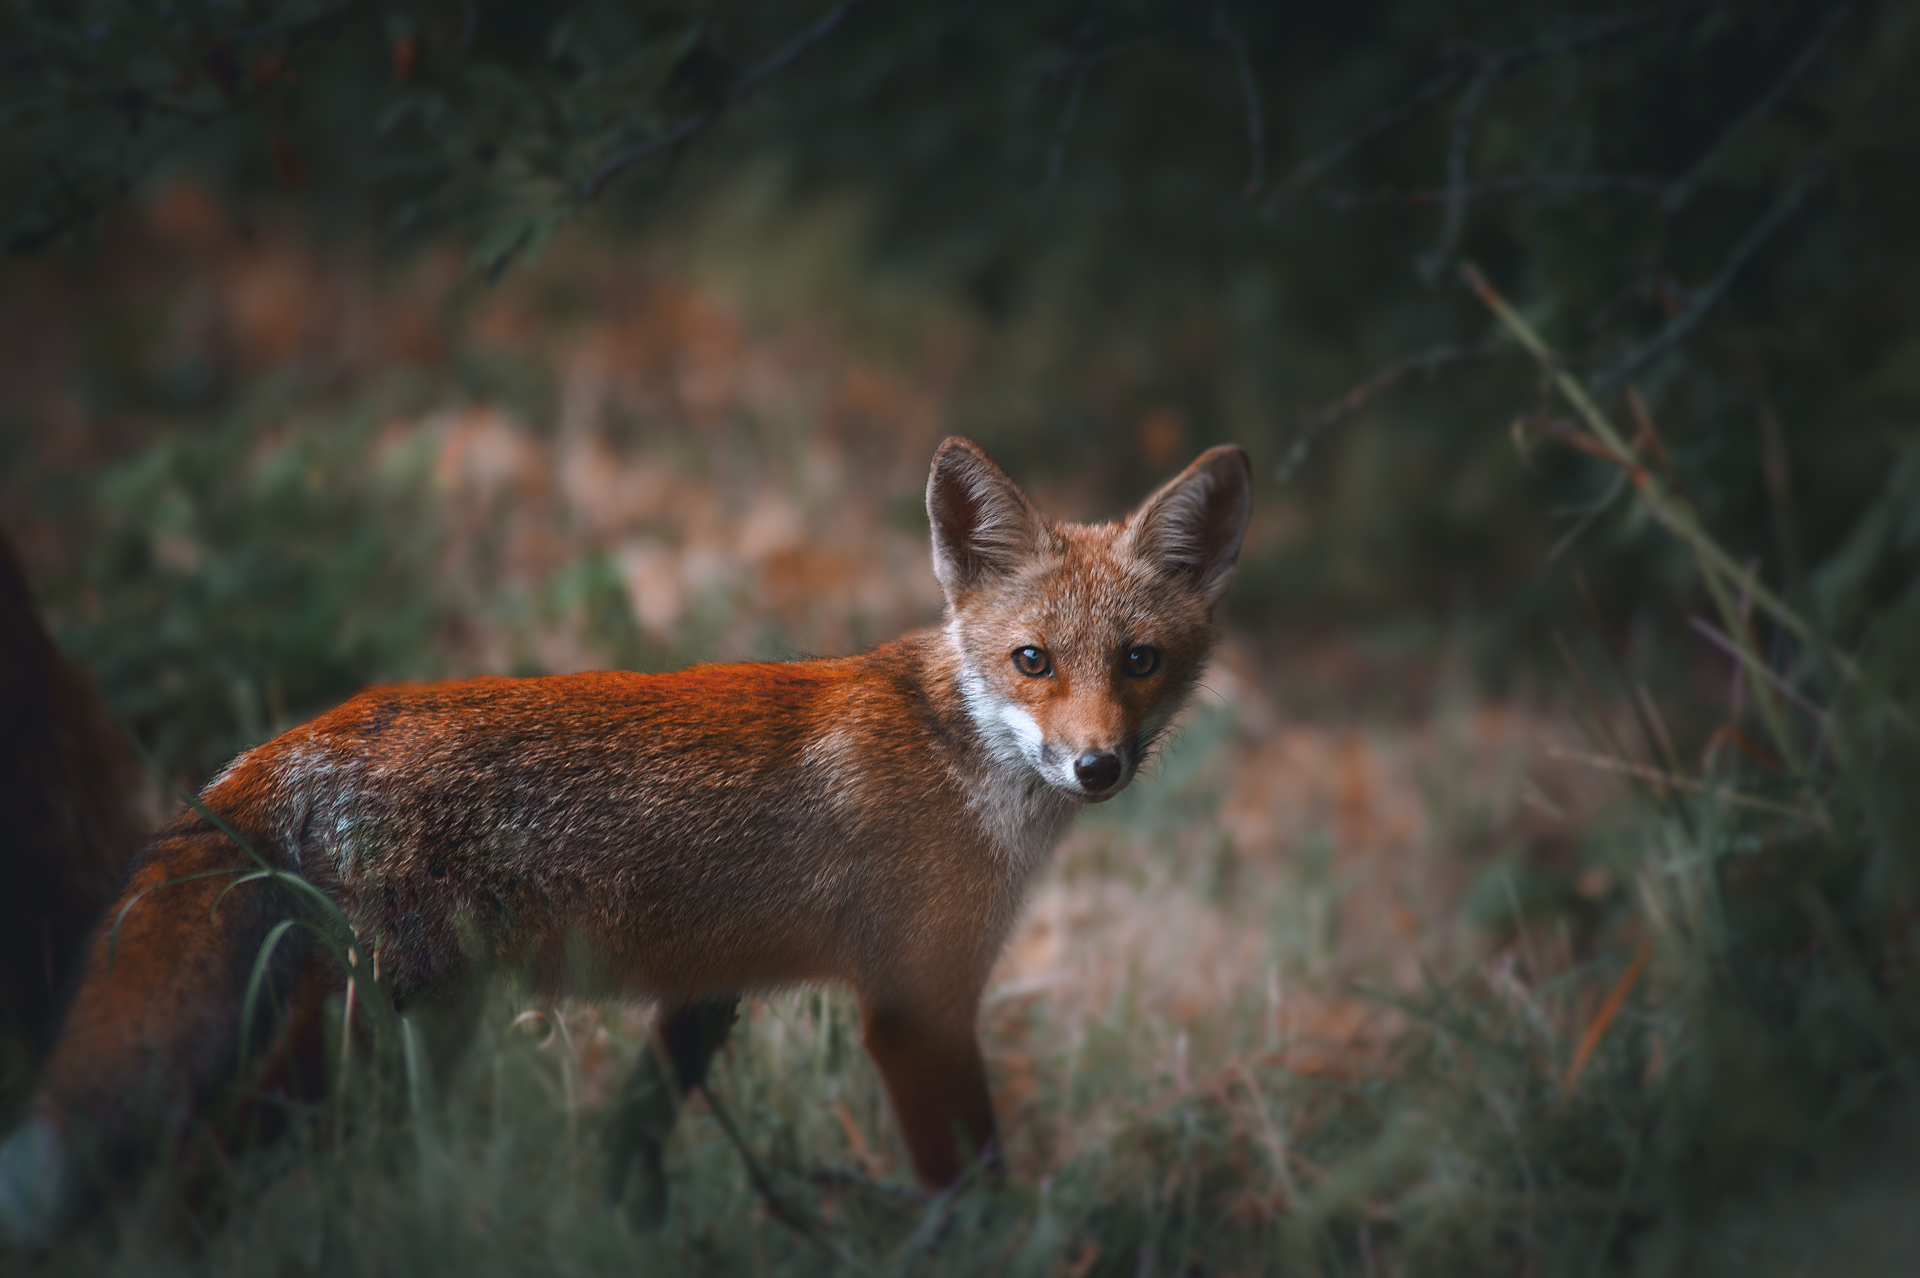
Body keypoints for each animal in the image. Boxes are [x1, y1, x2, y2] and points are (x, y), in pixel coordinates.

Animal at [0, 435, 1251, 1243]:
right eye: (1032, 661)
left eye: (1139, 662)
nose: (1098, 767)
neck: (960, 757)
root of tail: (293, 739)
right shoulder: (915, 1009)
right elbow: (975, 1189)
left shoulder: (707, 994)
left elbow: (630, 1141)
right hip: (378, 1039)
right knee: (231, 1169)